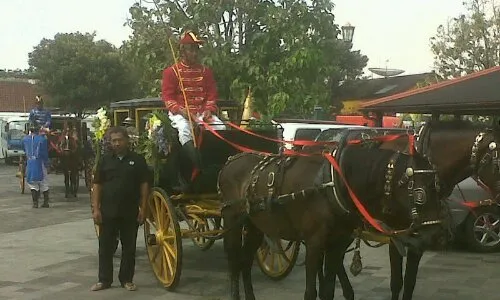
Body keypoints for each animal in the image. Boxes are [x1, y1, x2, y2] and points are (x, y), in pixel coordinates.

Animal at [217, 139, 444, 300]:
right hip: (232, 220)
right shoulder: (314, 243)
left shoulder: (337, 244)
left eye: (438, 187)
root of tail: (231, 161)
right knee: (234, 261)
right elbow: (311, 292)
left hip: (256, 225)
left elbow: (328, 291)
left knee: (246, 261)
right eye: (420, 194)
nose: (435, 234)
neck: (334, 183)